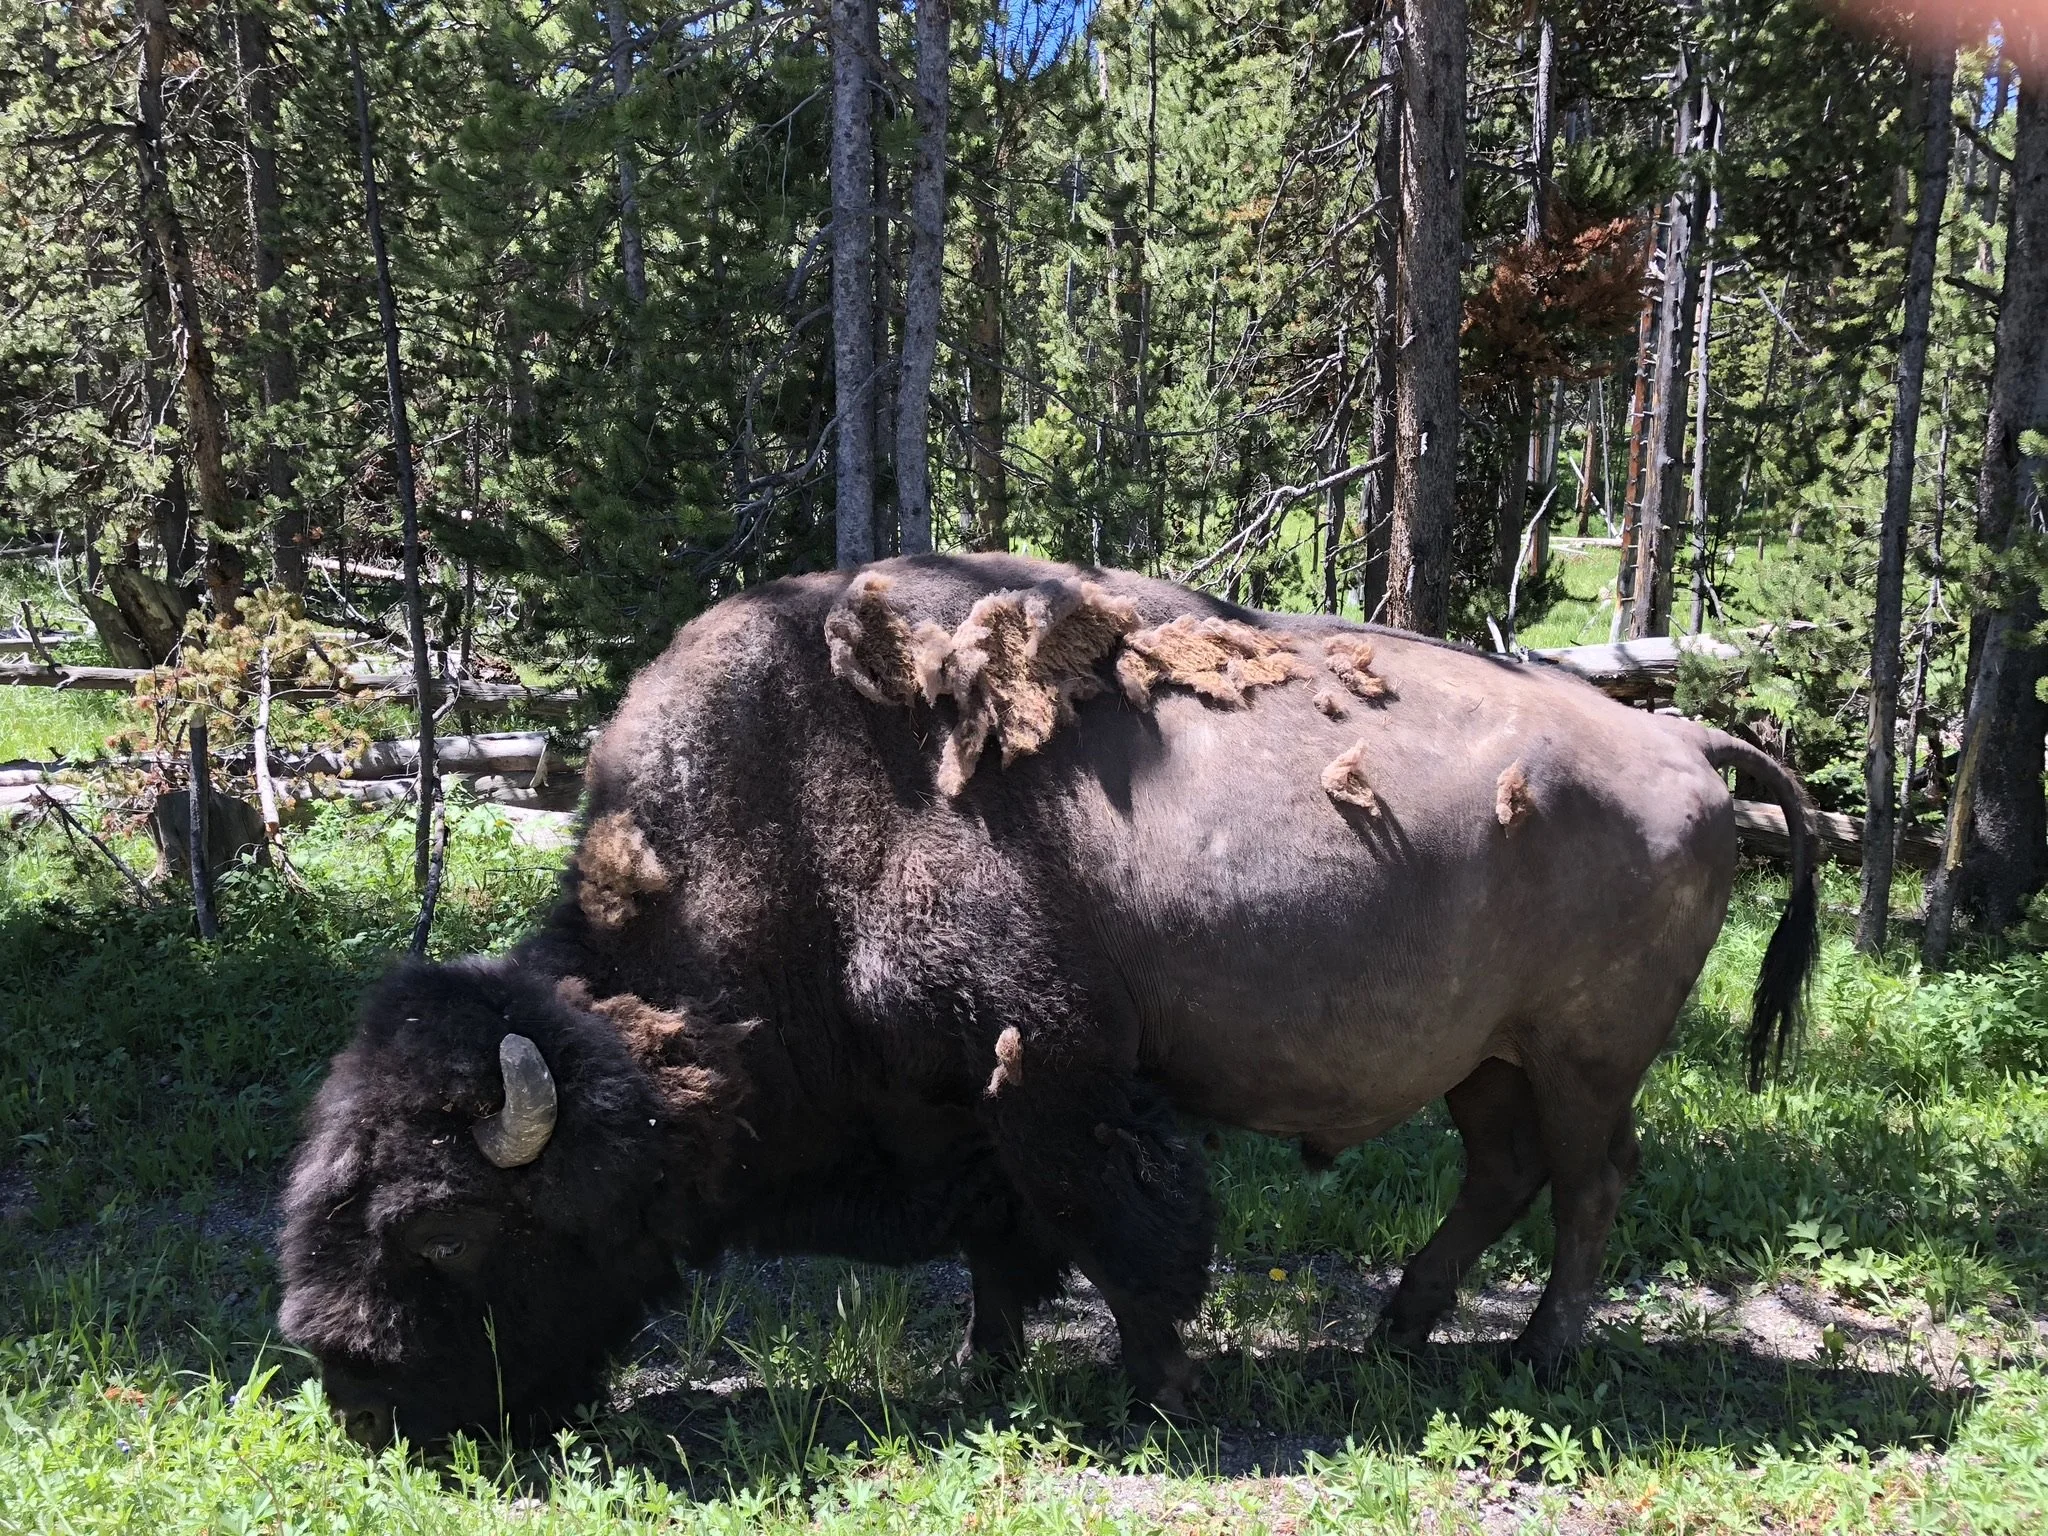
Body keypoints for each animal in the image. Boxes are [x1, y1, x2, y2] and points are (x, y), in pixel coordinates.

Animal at [279, 553, 1817, 1447]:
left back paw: (1538, 1356)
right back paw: (1398, 1332)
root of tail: (1684, 739)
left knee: (1588, 1181)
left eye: (449, 1228)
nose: (351, 1382)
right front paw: (988, 1372)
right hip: (1483, 1058)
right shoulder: (970, 1109)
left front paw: (1156, 1393)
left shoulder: (1058, 1076)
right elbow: (1007, 1252)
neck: (803, 825)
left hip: (1582, 1055)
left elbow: (1124, 1232)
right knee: (1503, 1173)